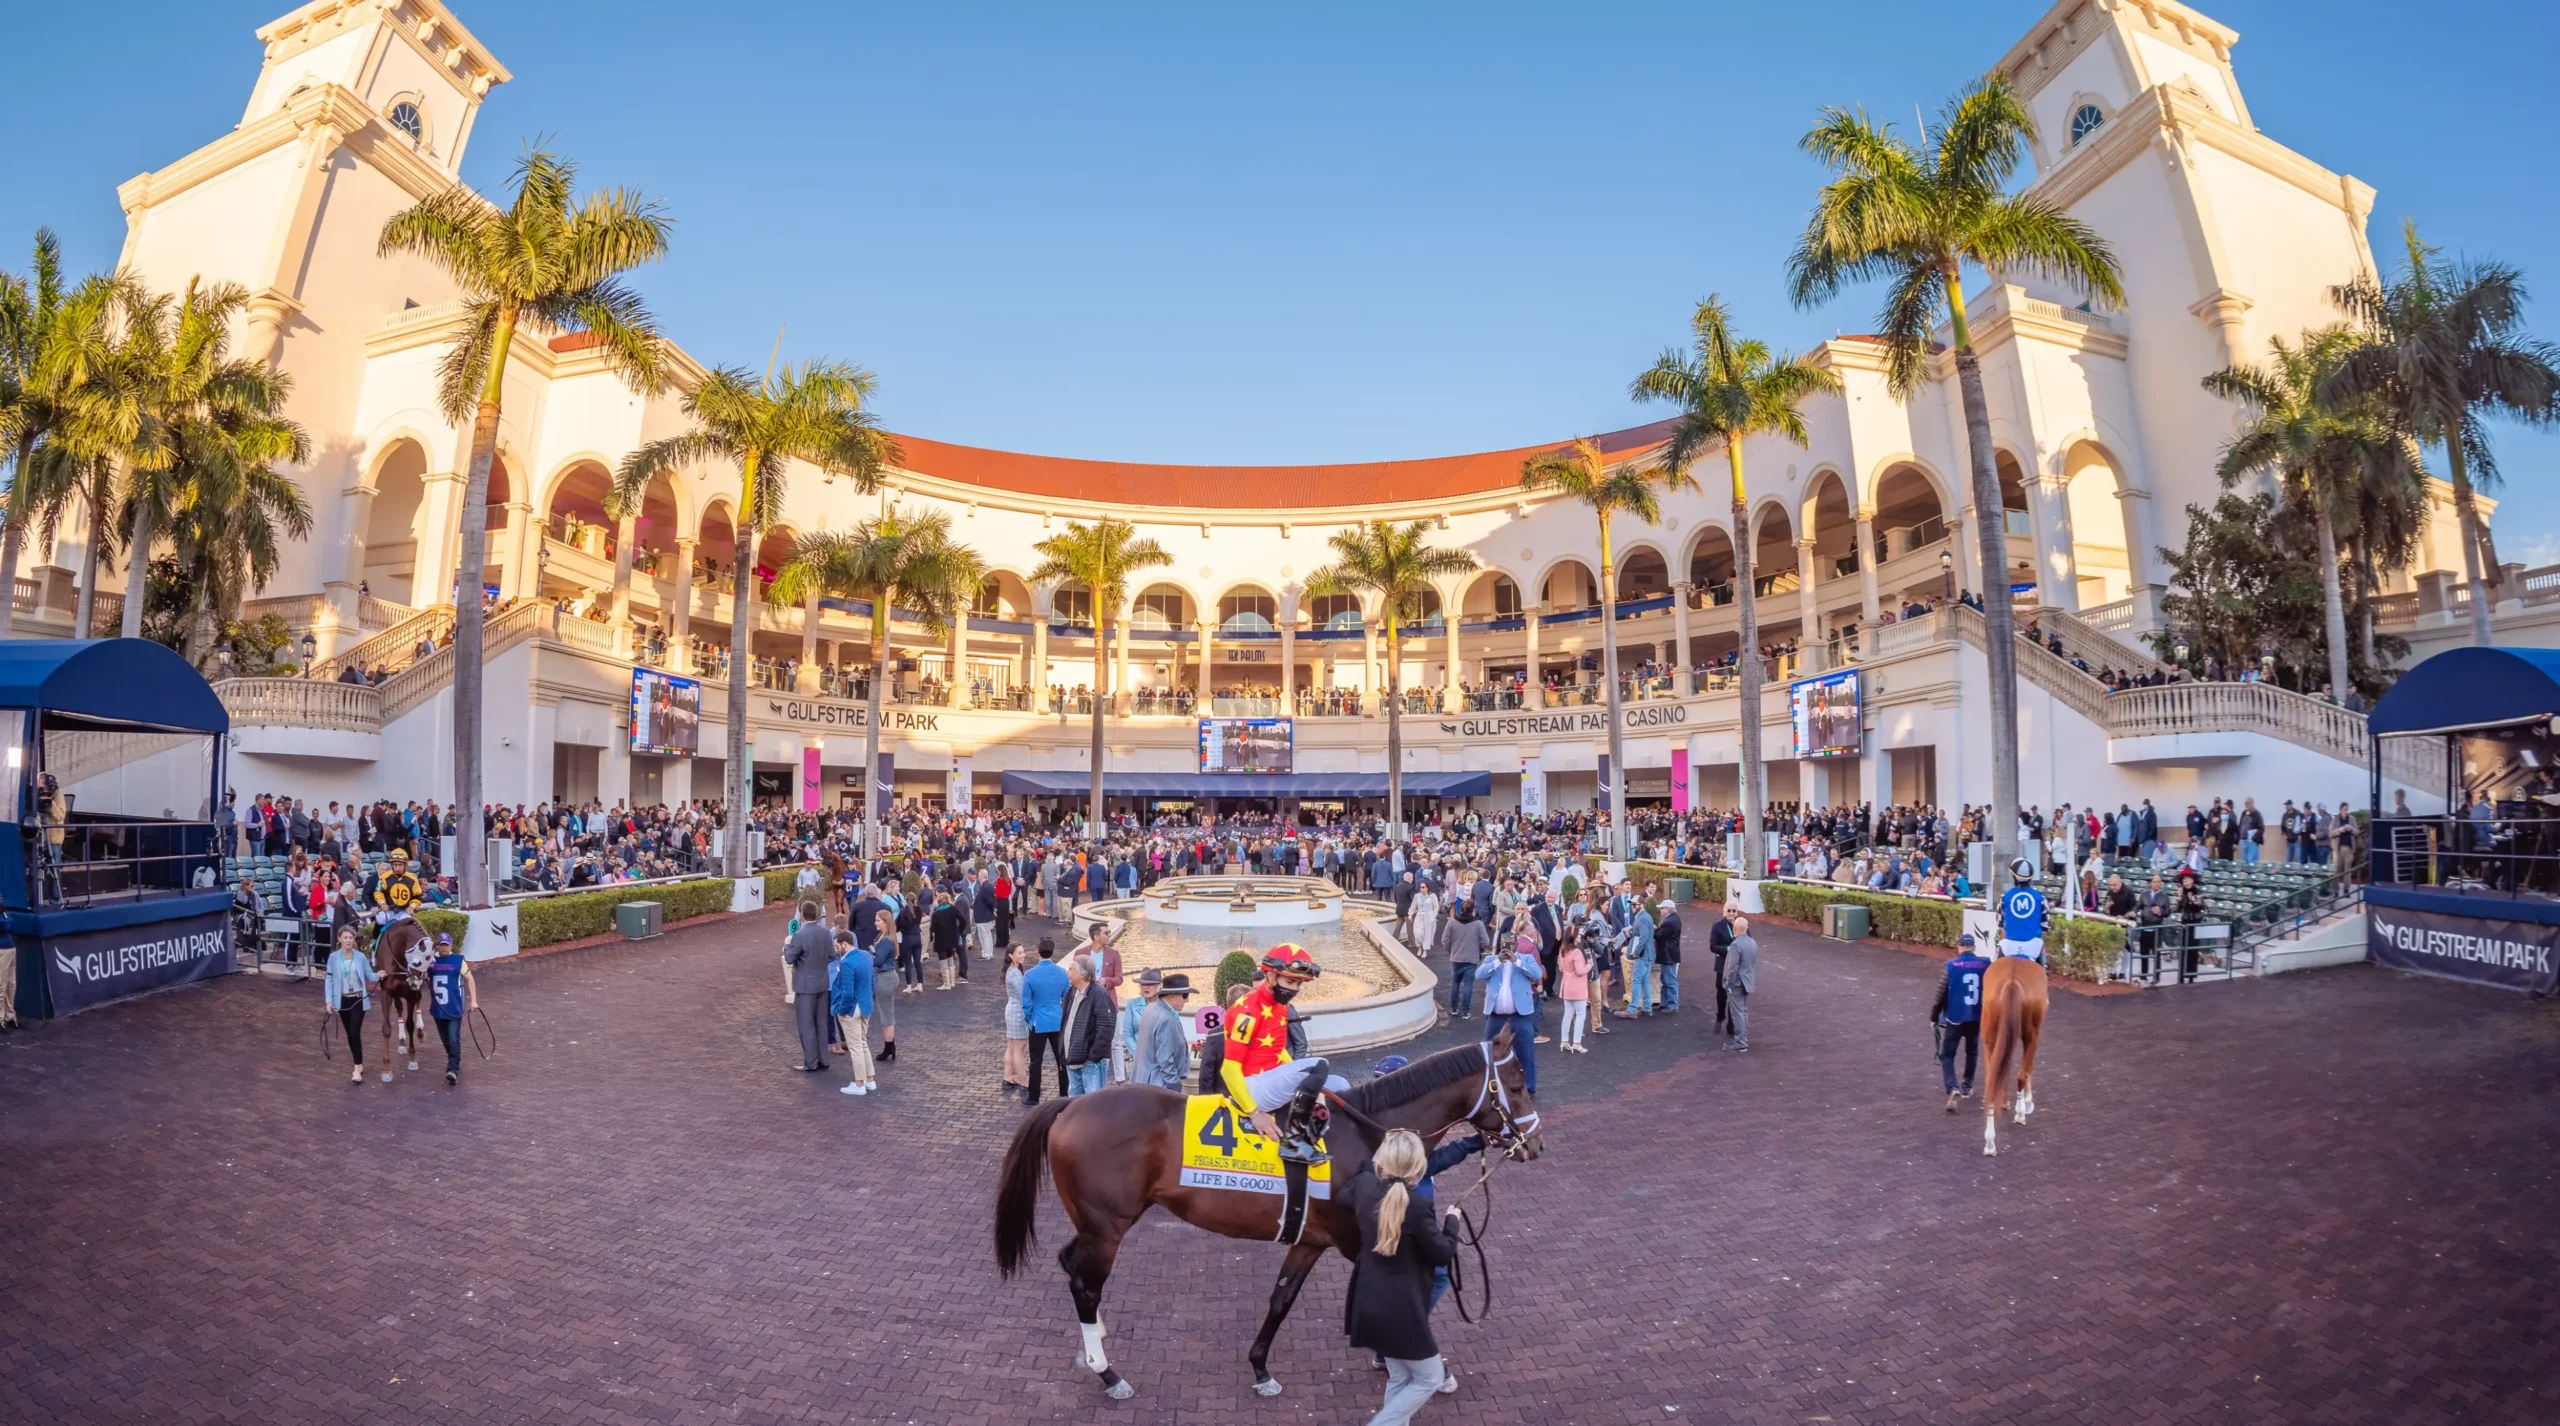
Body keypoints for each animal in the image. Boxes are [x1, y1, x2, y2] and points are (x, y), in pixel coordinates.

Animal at [993, 1029, 1536, 1392]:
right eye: (1518, 1083)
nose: (1534, 1142)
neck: (1369, 1132)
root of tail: (1069, 1105)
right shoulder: (1362, 1238)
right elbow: (1413, 1293)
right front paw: (1422, 1365)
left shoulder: (1311, 1240)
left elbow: (1281, 1299)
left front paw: (1260, 1366)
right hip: (1108, 1227)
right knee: (1086, 1284)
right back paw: (1107, 1371)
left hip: (1094, 1223)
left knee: (1071, 1265)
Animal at [1986, 952, 2048, 1152]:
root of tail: (2012, 980)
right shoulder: (2034, 1036)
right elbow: (2028, 1069)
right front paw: (2027, 1102)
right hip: (2031, 1034)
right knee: (2022, 1073)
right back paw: (2020, 1113)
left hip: (1990, 1036)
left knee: (1992, 1081)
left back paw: (1989, 1142)